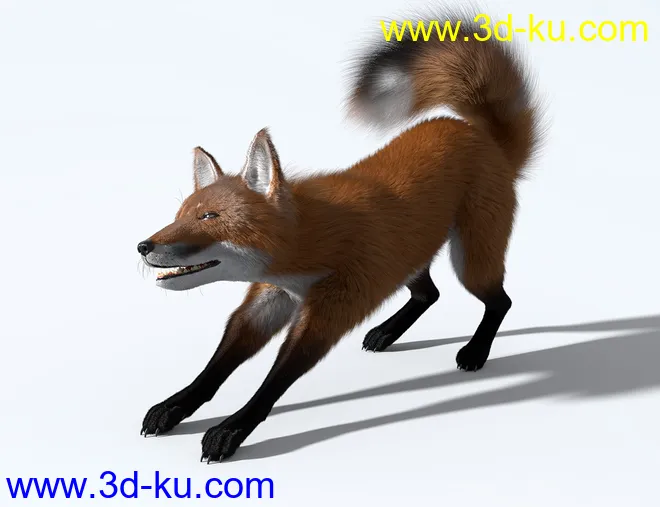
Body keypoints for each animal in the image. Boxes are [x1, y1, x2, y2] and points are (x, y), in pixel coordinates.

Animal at [137, 9, 544, 463]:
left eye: (210, 216)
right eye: (179, 215)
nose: (143, 247)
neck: (306, 247)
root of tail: (479, 134)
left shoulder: (331, 308)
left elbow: (275, 379)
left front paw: (233, 429)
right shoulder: (269, 299)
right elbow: (215, 368)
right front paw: (175, 406)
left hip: (470, 262)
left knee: (499, 301)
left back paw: (476, 351)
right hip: (406, 257)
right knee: (429, 293)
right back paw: (387, 332)